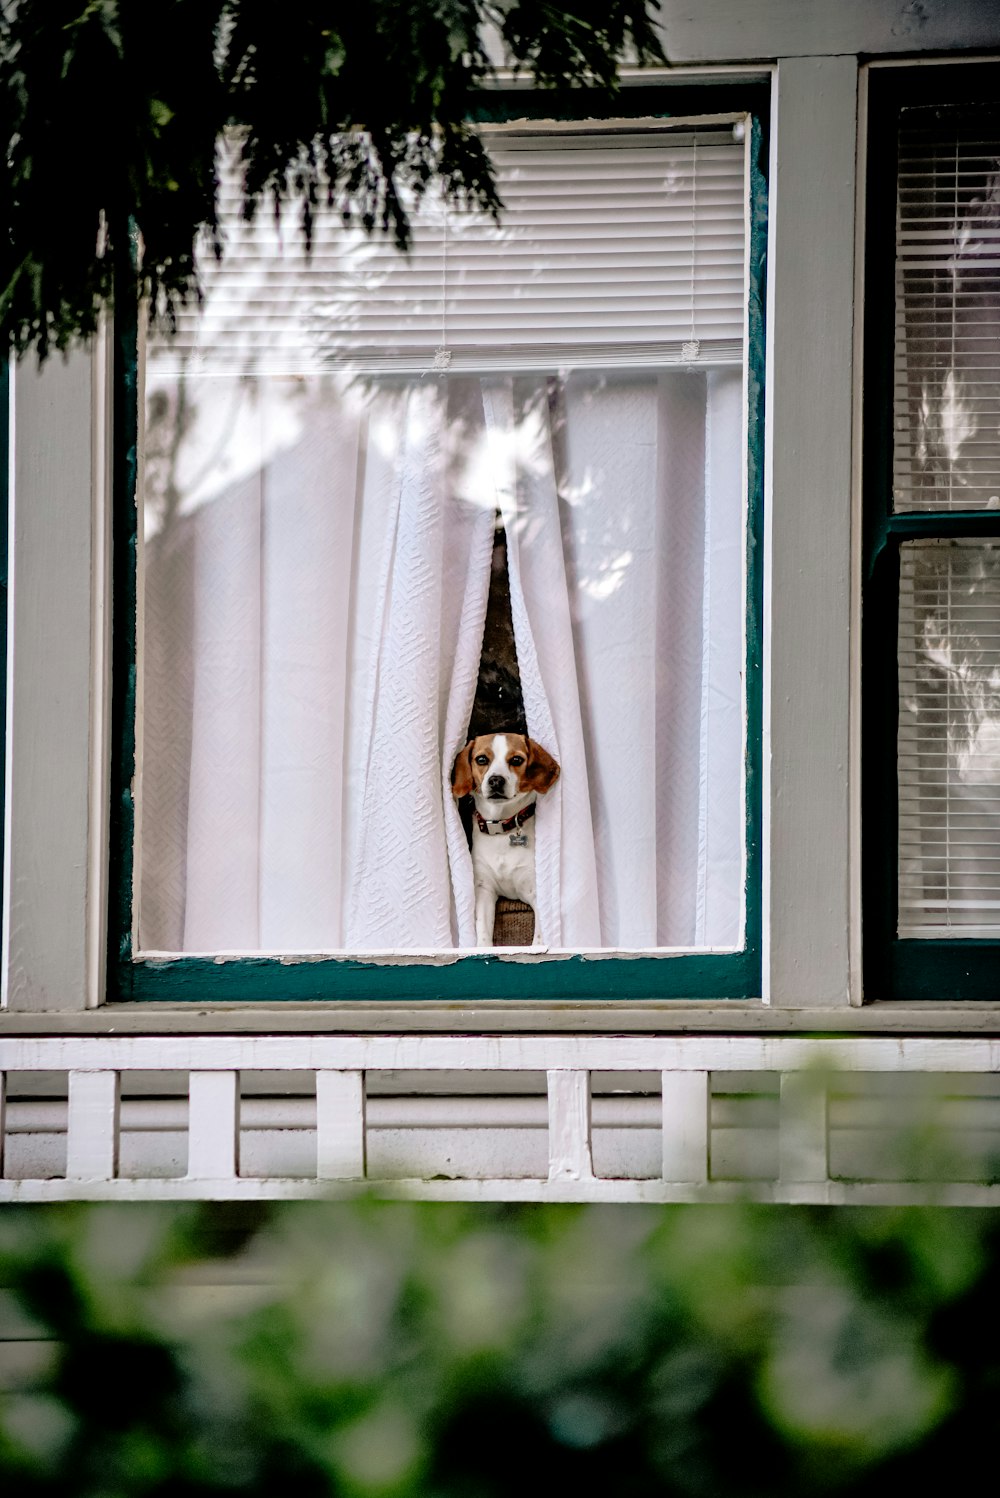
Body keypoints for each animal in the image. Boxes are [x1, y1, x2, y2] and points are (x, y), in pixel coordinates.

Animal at [449, 734, 559, 946]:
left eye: (516, 759)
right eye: (481, 759)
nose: (496, 780)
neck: (501, 827)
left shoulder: (535, 892)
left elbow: (539, 938)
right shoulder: (484, 891)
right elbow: (483, 933)